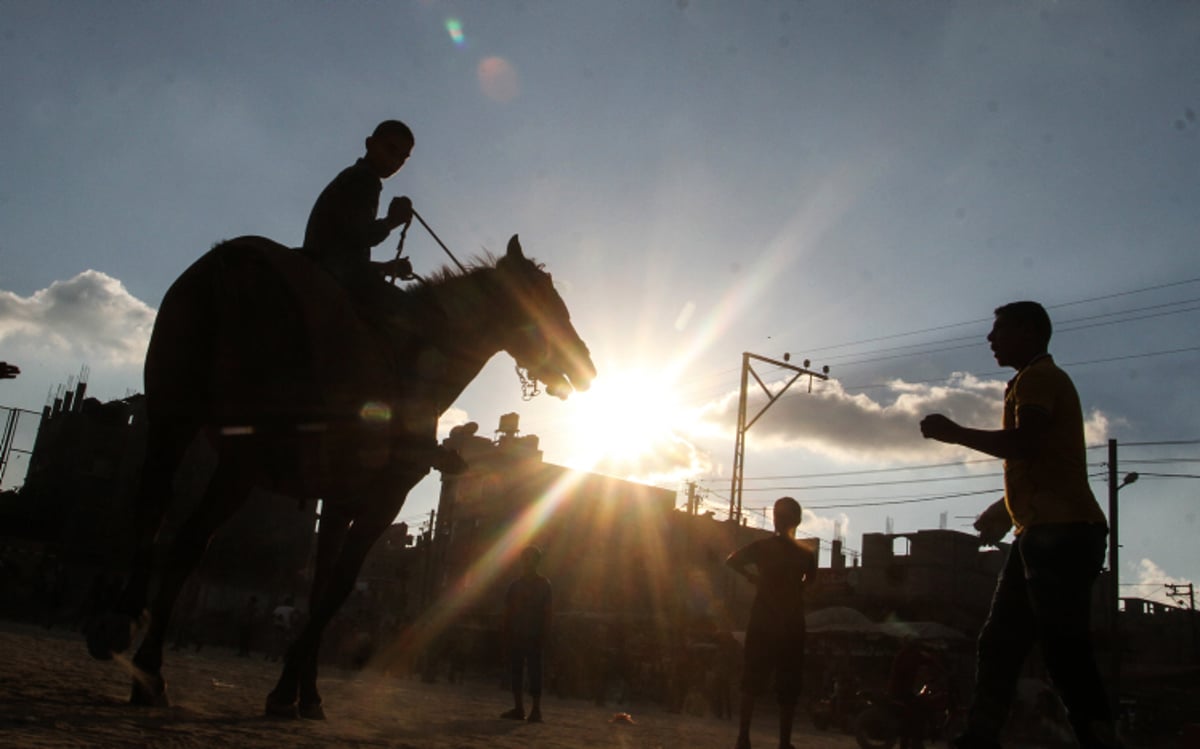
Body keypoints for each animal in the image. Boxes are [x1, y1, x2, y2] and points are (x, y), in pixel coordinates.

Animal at [85, 234, 595, 720]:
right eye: (546, 300)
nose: (586, 365)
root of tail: (230, 263)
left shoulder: (336, 500)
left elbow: (320, 586)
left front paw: (302, 693)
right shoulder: (383, 497)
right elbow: (339, 586)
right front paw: (290, 693)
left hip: (172, 417)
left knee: (158, 511)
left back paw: (124, 638)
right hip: (240, 456)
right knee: (188, 536)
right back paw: (145, 664)